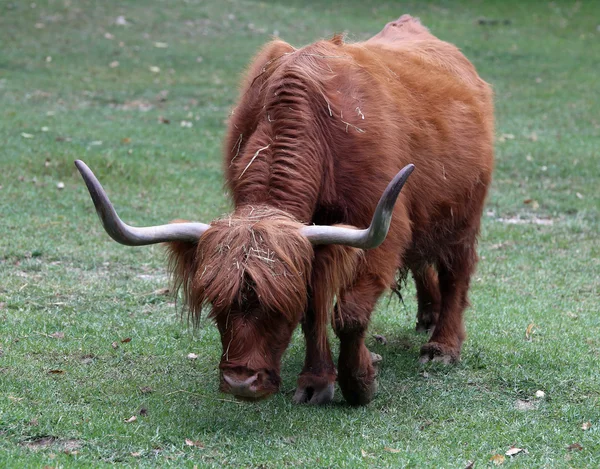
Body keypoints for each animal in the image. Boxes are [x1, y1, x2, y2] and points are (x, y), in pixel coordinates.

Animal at [77, 16, 494, 404]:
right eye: (215, 302)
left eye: (278, 308)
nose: (241, 382)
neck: (320, 133)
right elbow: (314, 308)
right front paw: (316, 382)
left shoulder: (379, 232)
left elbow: (349, 314)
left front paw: (358, 383)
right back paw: (427, 315)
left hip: (464, 215)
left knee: (457, 272)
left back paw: (442, 347)